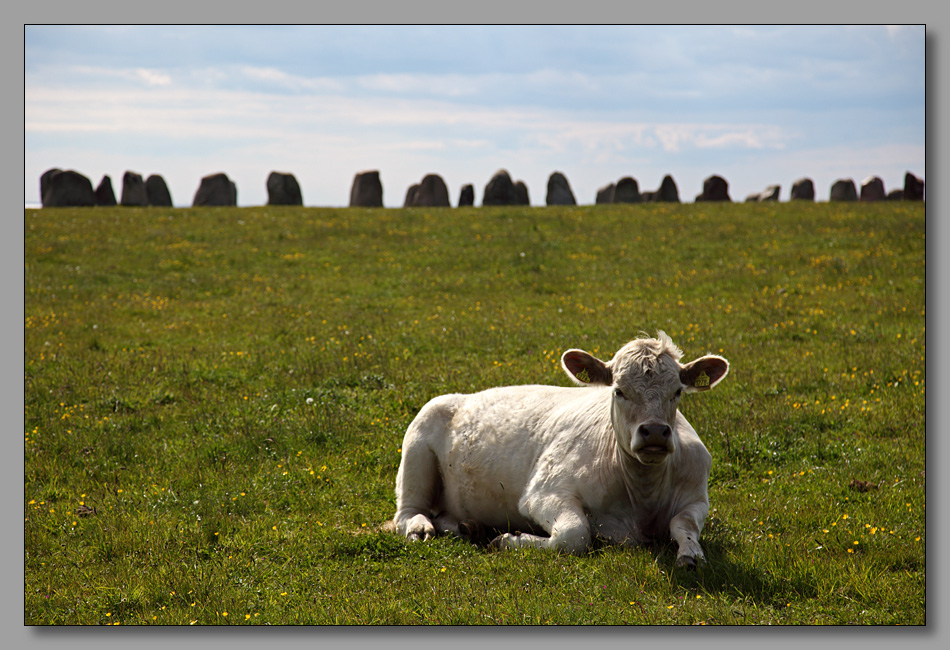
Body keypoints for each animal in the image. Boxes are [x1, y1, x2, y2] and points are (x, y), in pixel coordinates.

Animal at [390, 332, 732, 564]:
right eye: (619, 391)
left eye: (677, 392)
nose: (656, 432)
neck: (642, 498)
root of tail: (461, 395)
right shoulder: (544, 492)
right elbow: (574, 534)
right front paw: (510, 539)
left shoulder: (697, 497)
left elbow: (683, 524)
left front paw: (691, 554)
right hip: (417, 447)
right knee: (407, 511)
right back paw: (422, 528)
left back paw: (470, 527)